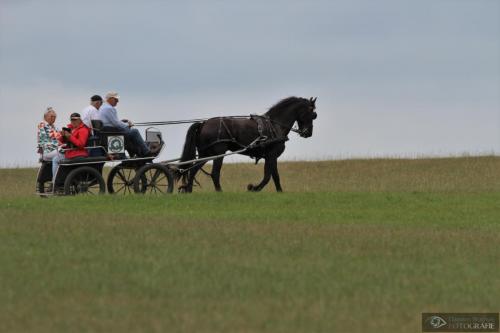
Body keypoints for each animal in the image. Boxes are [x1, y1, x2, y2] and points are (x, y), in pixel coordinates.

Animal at [177, 95, 316, 192]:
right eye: (313, 114)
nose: (308, 133)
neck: (275, 125)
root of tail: (203, 124)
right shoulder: (271, 156)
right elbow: (268, 177)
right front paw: (253, 188)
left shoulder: (272, 157)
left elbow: (275, 176)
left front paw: (280, 191)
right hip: (218, 153)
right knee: (214, 173)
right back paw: (219, 192)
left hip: (205, 153)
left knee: (193, 170)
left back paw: (188, 190)